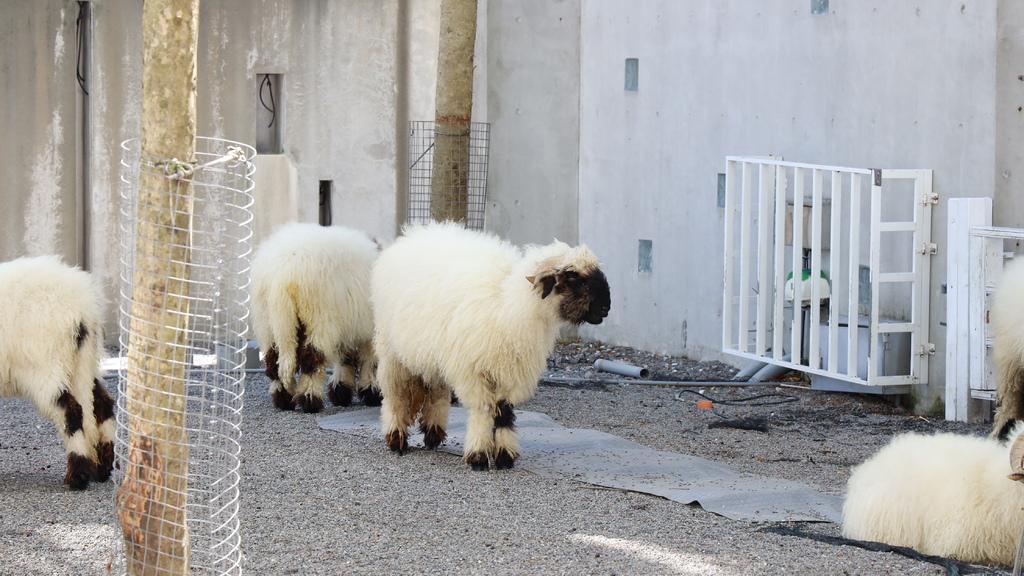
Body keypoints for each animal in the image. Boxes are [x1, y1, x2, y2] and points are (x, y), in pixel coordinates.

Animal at [0, 253, 116, 485]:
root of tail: (82, 307)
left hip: (45, 367)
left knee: (71, 412)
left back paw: (79, 475)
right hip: (83, 363)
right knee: (102, 405)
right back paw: (102, 467)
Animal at [249, 220, 382, 412]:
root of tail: (282, 275)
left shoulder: (348, 325)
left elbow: (345, 358)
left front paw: (341, 391)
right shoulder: (369, 329)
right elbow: (370, 361)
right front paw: (371, 392)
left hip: (268, 322)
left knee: (273, 363)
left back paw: (284, 400)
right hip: (318, 319)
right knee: (311, 360)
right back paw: (310, 400)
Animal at [372, 222, 606, 469]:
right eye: (575, 279)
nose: (606, 307)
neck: (508, 307)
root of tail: (412, 233)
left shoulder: (510, 373)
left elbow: (504, 413)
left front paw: (504, 457)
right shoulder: (473, 371)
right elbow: (483, 409)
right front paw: (479, 456)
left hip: (432, 355)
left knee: (436, 392)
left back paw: (433, 434)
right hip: (391, 350)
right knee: (395, 394)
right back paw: (396, 439)